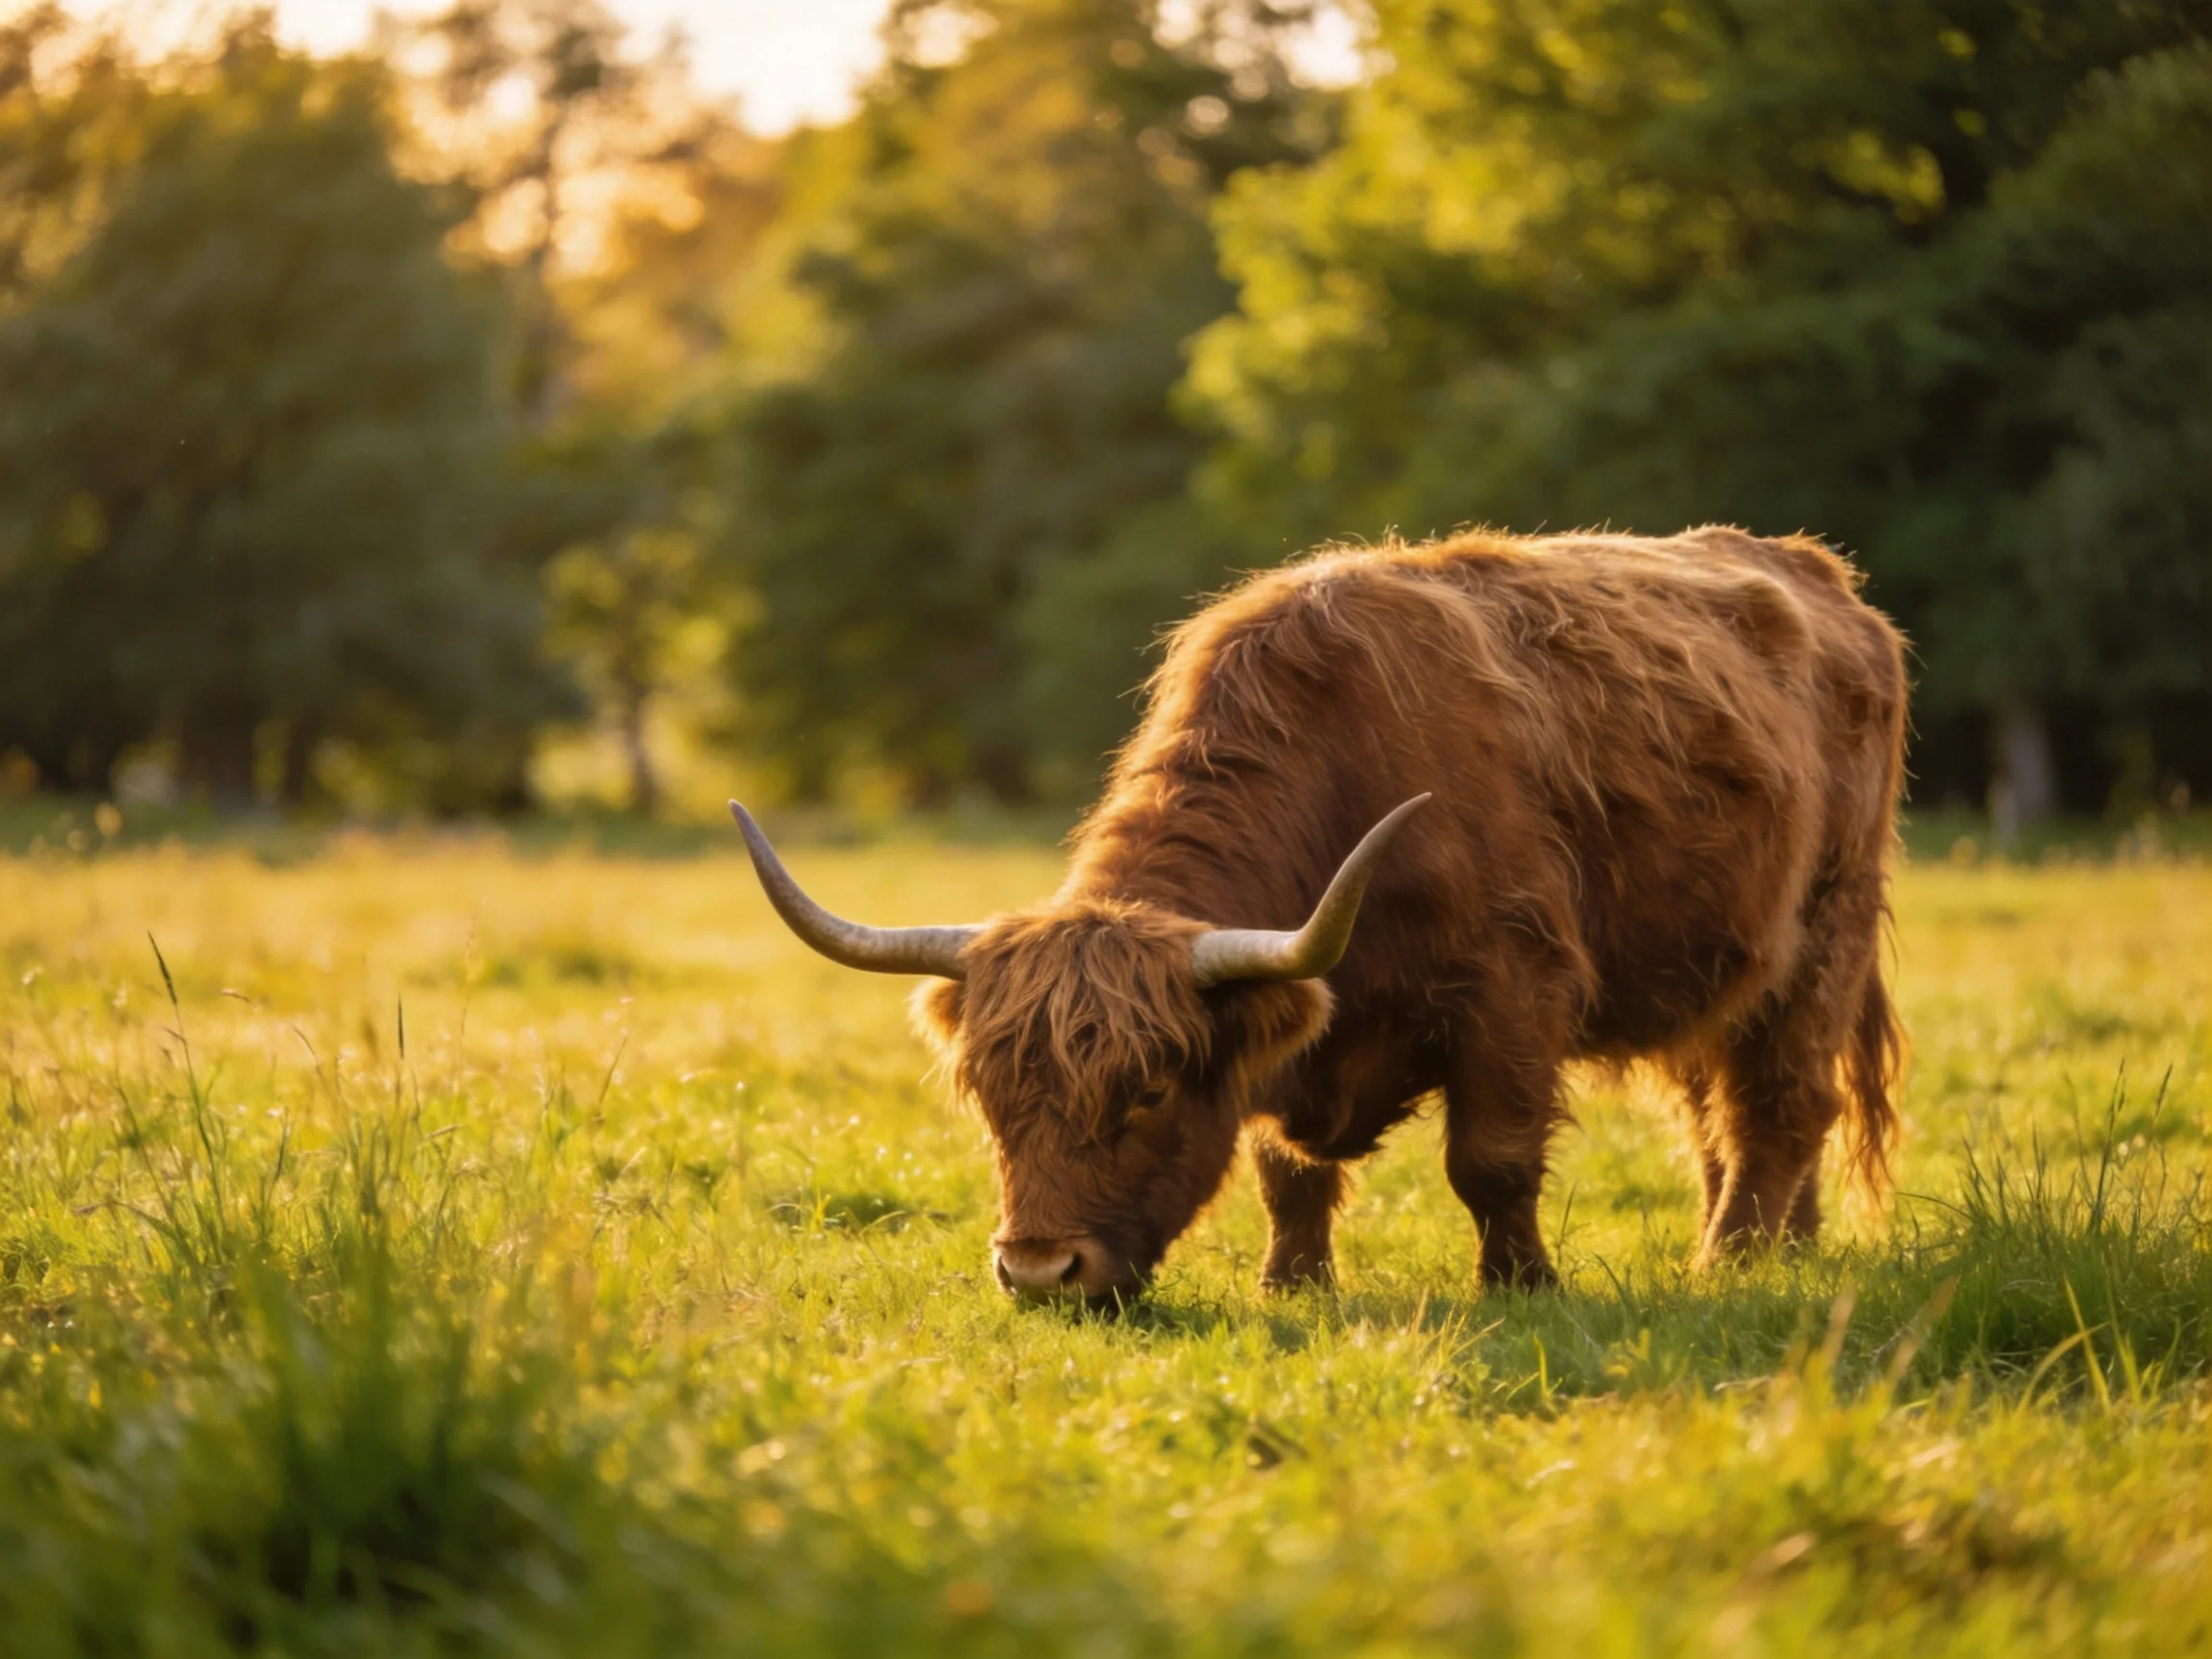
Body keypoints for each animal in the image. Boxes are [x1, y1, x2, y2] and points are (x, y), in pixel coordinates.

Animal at [731, 527, 1908, 1306]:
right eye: (988, 1096)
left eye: (1147, 1089)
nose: (1038, 1271)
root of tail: (1823, 575)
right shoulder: (1287, 1012)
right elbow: (1284, 1172)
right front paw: (1291, 1285)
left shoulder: (1513, 991)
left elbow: (1490, 1160)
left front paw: (1520, 1287)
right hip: (1719, 968)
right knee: (1723, 1112)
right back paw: (1785, 1247)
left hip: (1826, 931)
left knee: (1782, 1103)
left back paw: (1734, 1263)